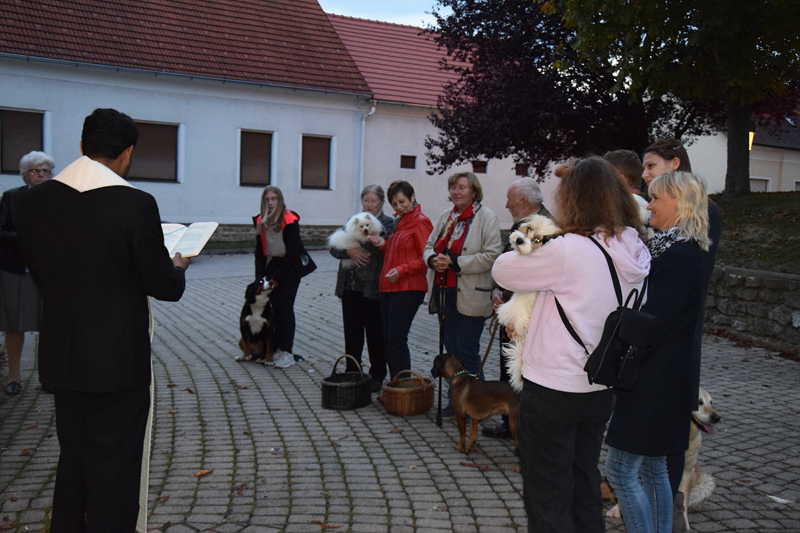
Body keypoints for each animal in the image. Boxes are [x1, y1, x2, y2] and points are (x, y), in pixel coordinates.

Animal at [606, 387, 721, 531]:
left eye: (711, 403)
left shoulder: (688, 471)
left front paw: (684, 523)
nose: (717, 418)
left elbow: (683, 500)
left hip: (705, 483)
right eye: (699, 402)